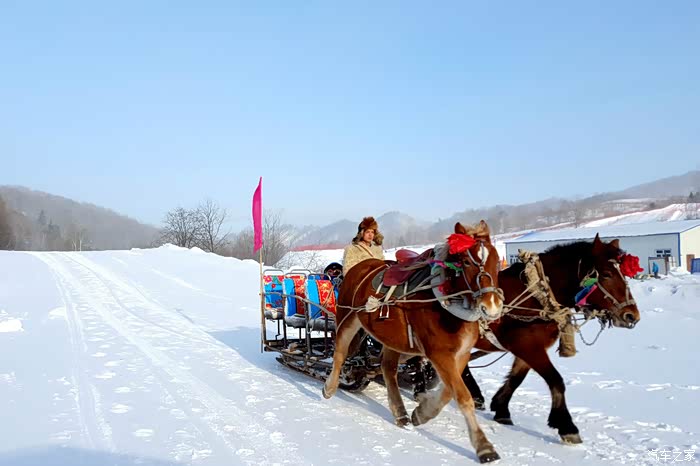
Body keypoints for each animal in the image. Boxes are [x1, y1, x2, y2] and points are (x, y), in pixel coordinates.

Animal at [322, 221, 506, 464]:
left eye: (495, 259)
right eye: (466, 261)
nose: (492, 306)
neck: (445, 303)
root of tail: (360, 267)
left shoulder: (460, 354)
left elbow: (450, 392)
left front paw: (422, 412)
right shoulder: (439, 353)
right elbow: (462, 396)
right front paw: (483, 446)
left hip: (391, 336)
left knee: (388, 368)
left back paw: (400, 413)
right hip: (347, 319)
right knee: (340, 353)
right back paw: (330, 387)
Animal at [383, 234, 641, 444]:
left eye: (624, 274)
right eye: (606, 274)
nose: (632, 315)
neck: (535, 296)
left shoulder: (527, 348)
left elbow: (517, 378)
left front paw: (501, 408)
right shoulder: (527, 346)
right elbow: (556, 380)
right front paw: (567, 426)